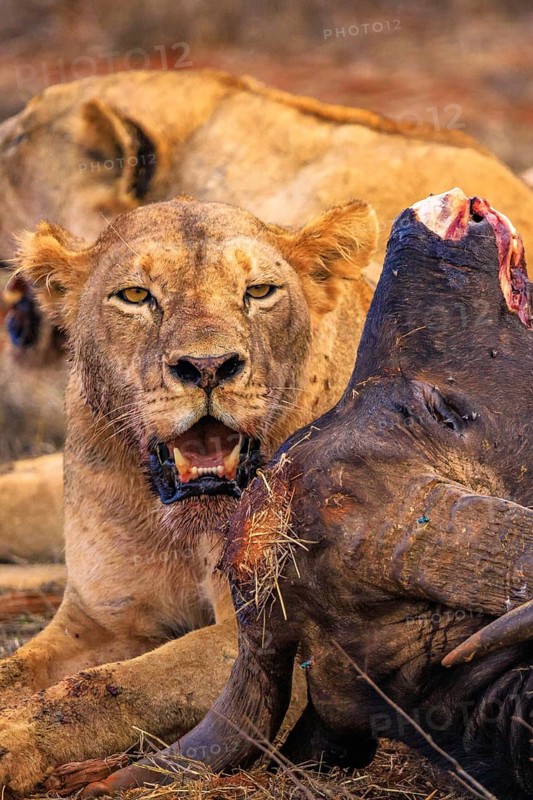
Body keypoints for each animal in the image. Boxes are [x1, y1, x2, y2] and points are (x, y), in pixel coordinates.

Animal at [0, 193, 377, 793]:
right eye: (136, 296)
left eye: (259, 291)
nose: (207, 367)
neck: (183, 530)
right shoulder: (99, 619)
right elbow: (21, 670)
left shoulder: (290, 640)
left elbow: (113, 686)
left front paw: (12, 741)